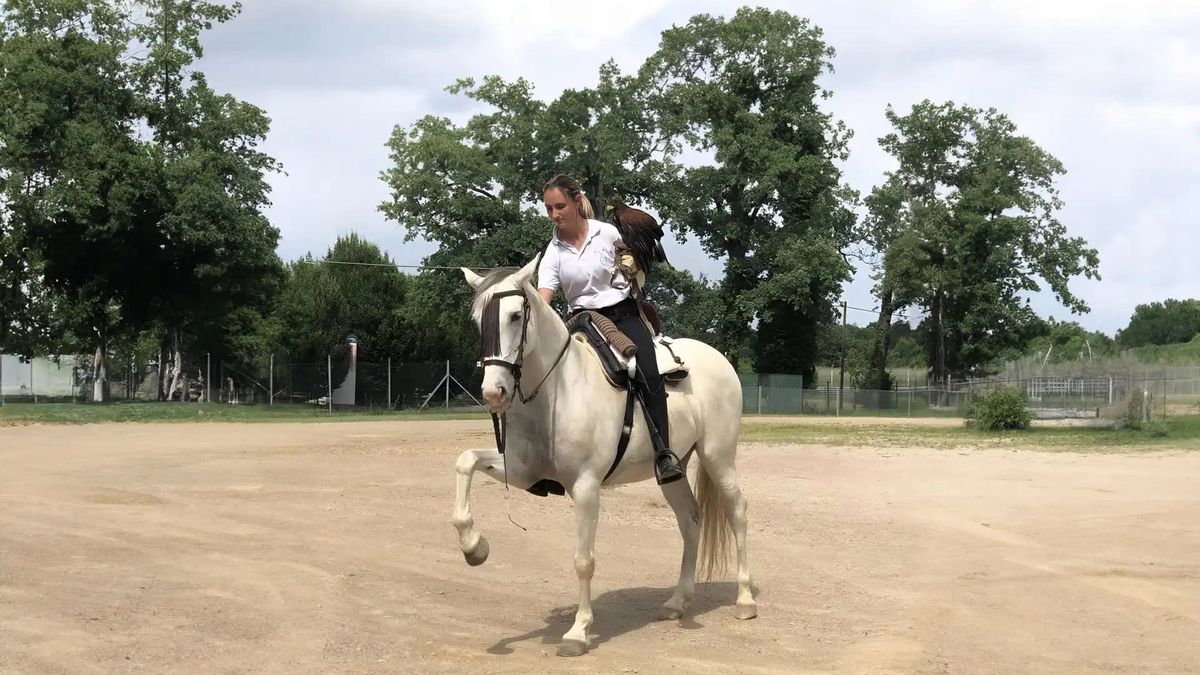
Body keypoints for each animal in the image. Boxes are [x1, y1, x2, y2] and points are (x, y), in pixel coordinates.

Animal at [453, 258, 755, 657]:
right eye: (477, 319)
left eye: (516, 315)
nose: (493, 392)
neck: (557, 390)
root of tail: (717, 358)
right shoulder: (521, 470)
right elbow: (465, 461)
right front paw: (474, 547)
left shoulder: (585, 486)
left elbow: (583, 560)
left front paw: (578, 632)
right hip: (672, 471)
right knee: (691, 521)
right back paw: (677, 603)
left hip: (718, 457)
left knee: (737, 513)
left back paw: (745, 600)